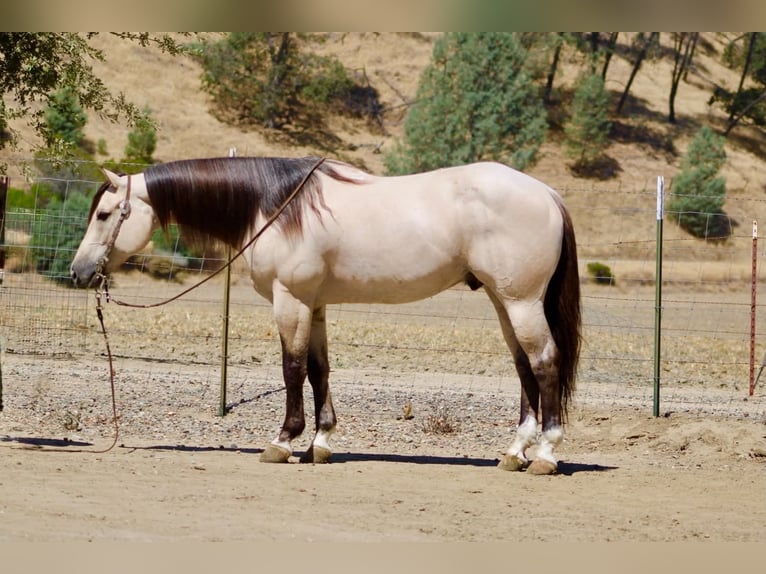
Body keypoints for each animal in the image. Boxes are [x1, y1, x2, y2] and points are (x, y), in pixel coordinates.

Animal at [70, 156, 581, 475]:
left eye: (104, 213)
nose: (79, 271)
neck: (276, 206)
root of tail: (548, 194)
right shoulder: (313, 305)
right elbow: (319, 369)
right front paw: (321, 442)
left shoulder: (290, 300)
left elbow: (292, 368)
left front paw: (283, 441)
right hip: (503, 301)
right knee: (524, 367)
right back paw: (514, 452)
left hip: (520, 302)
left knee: (545, 363)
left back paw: (545, 454)